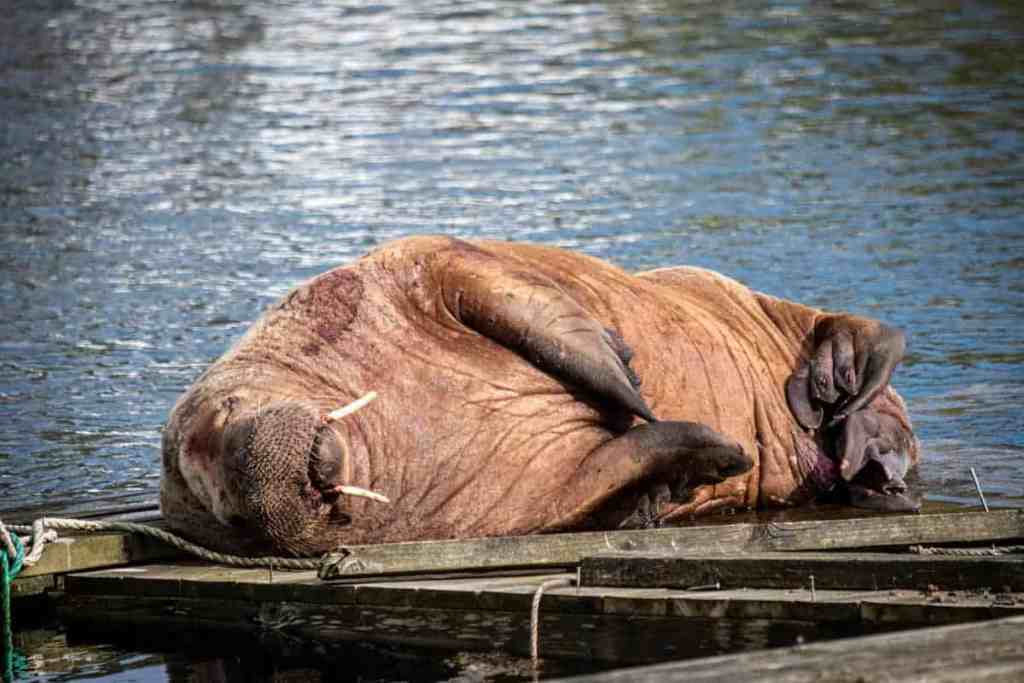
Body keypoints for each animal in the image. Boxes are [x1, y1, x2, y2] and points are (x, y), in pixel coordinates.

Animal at [161, 236, 919, 556]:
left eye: (225, 418)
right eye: (226, 511)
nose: (261, 479)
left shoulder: (431, 263)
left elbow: (548, 324)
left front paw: (629, 379)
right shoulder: (529, 501)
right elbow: (626, 459)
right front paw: (703, 463)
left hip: (725, 289)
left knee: (847, 326)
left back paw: (840, 384)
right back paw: (864, 461)